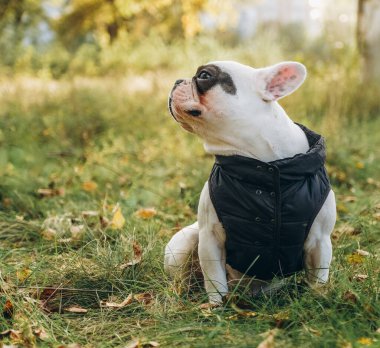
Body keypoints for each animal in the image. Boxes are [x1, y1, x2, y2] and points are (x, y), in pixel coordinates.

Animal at [165, 60, 336, 304]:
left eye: (205, 75)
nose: (177, 81)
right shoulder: (210, 239)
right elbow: (215, 280)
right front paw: (216, 307)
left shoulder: (320, 240)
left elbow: (319, 277)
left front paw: (318, 299)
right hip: (183, 244)